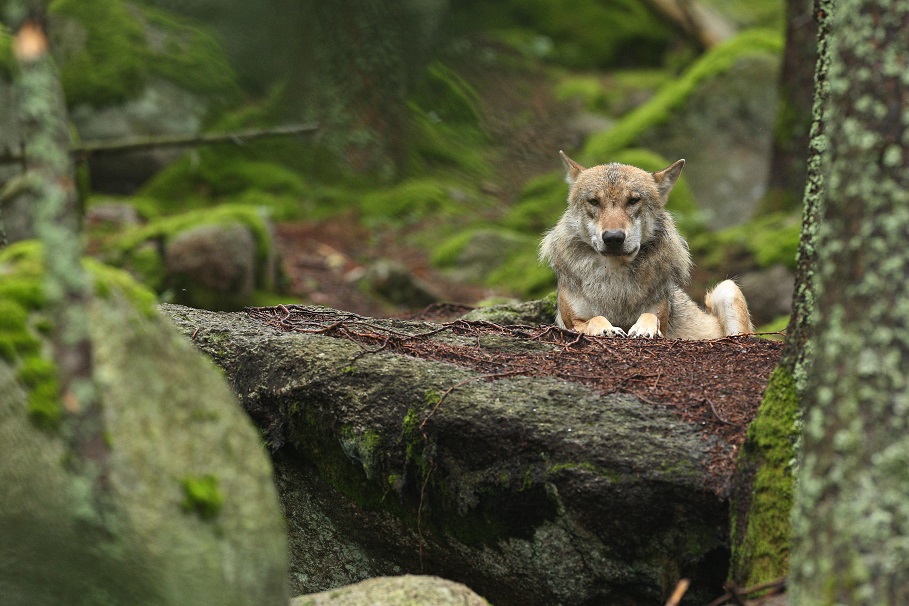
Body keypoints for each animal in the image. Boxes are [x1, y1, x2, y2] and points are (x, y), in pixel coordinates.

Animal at [540, 151, 752, 340]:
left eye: (633, 200)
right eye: (594, 201)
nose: (613, 237)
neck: (615, 280)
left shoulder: (660, 315)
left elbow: (650, 316)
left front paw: (644, 328)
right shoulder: (573, 322)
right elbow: (595, 318)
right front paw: (607, 328)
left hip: (727, 288)